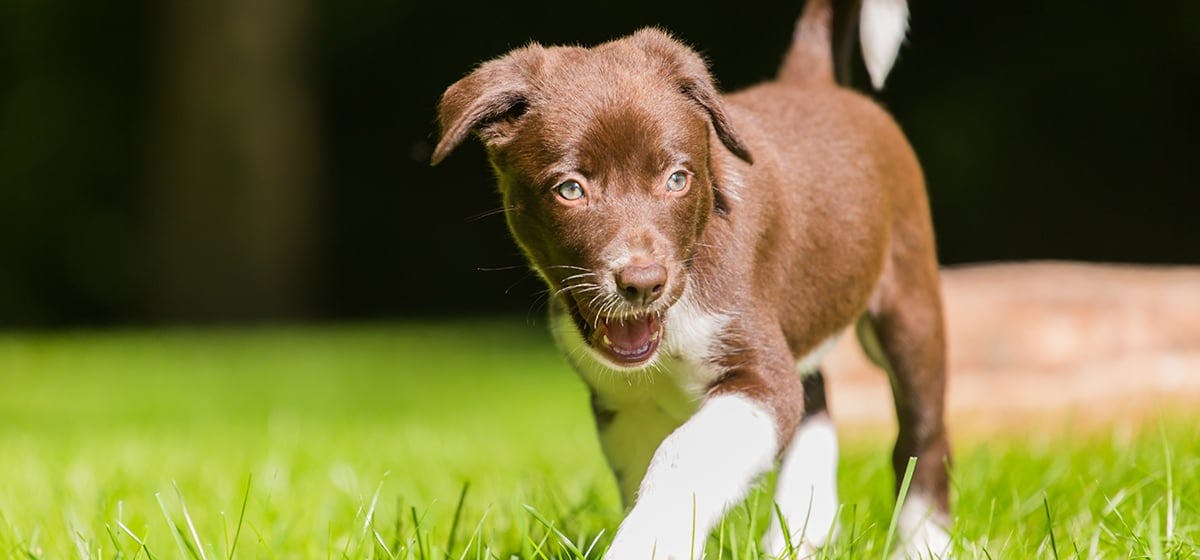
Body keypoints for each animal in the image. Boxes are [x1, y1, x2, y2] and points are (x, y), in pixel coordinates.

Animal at [436, 0, 950, 556]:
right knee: (815, 397)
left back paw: (925, 541)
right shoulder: (623, 403)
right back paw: (800, 533)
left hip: (909, 301)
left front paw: (646, 542)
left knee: (921, 432)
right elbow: (646, 475)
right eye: (570, 189)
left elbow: (683, 457)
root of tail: (810, 80)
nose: (642, 282)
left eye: (678, 179)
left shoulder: (759, 375)